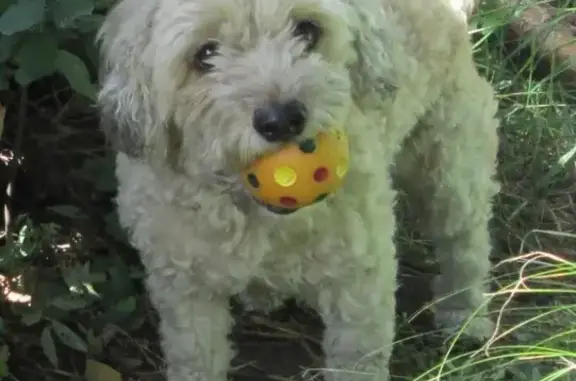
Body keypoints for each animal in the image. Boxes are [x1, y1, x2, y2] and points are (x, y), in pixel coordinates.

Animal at [94, 0, 500, 378]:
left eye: (307, 30)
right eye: (205, 54)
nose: (282, 119)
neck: (260, 221)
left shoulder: (361, 277)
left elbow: (357, 357)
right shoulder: (183, 287)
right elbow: (195, 356)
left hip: (451, 167)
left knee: (466, 244)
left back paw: (464, 314)